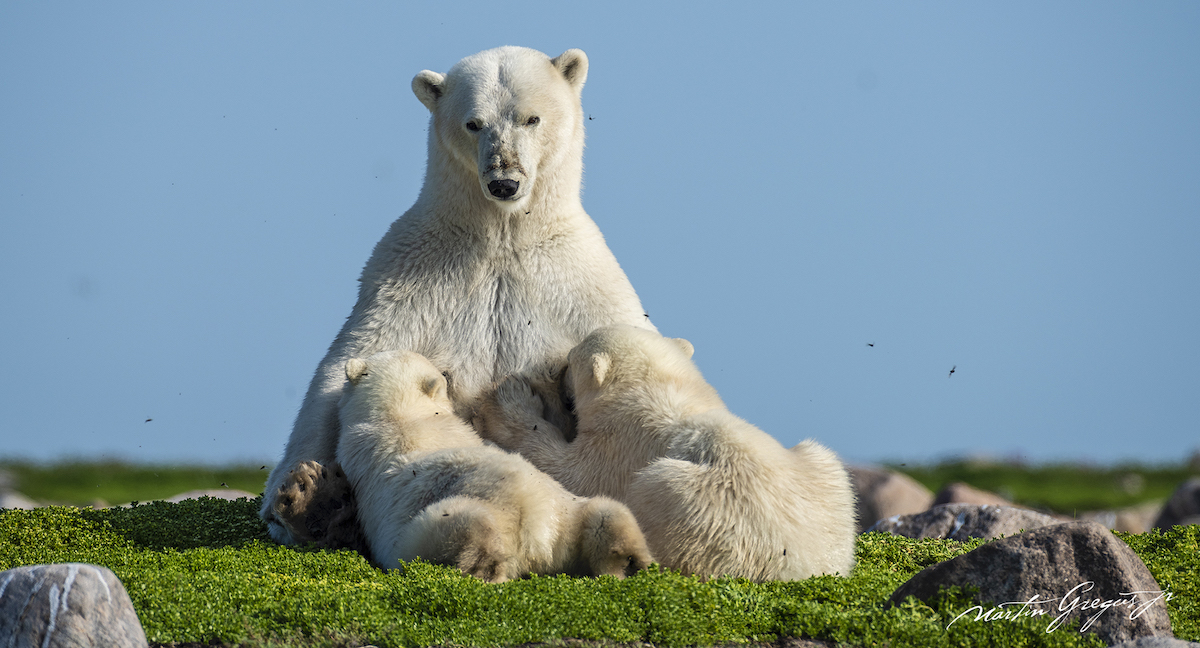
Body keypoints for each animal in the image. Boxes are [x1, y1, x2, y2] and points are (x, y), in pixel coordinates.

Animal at [264, 45, 657, 542]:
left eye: (532, 118)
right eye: (474, 123)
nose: (504, 181)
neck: (502, 236)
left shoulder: (579, 284)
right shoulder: (410, 278)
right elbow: (345, 366)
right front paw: (304, 491)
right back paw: (315, 500)